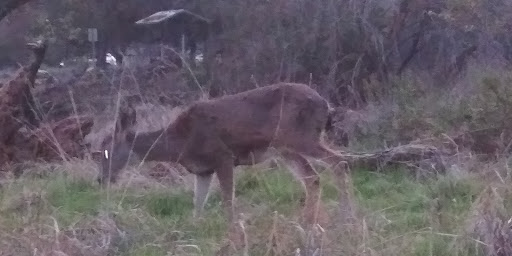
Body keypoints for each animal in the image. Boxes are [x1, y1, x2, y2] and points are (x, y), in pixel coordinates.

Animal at [93, 82, 348, 226]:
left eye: (106, 151)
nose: (101, 179)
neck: (181, 143)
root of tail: (325, 104)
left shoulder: (222, 156)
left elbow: (227, 200)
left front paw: (232, 230)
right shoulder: (202, 170)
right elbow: (198, 204)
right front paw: (195, 229)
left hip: (300, 137)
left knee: (339, 162)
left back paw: (346, 217)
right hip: (286, 148)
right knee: (312, 177)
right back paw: (307, 221)